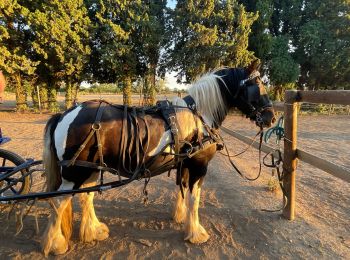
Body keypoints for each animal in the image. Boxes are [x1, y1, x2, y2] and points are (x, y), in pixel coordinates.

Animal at [41, 61, 276, 256]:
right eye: (257, 85)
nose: (271, 117)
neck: (198, 117)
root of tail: (64, 115)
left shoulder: (185, 164)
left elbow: (182, 189)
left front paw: (180, 217)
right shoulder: (199, 166)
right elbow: (195, 199)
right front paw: (196, 232)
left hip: (90, 167)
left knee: (85, 197)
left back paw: (94, 230)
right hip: (74, 172)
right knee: (59, 201)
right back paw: (56, 244)